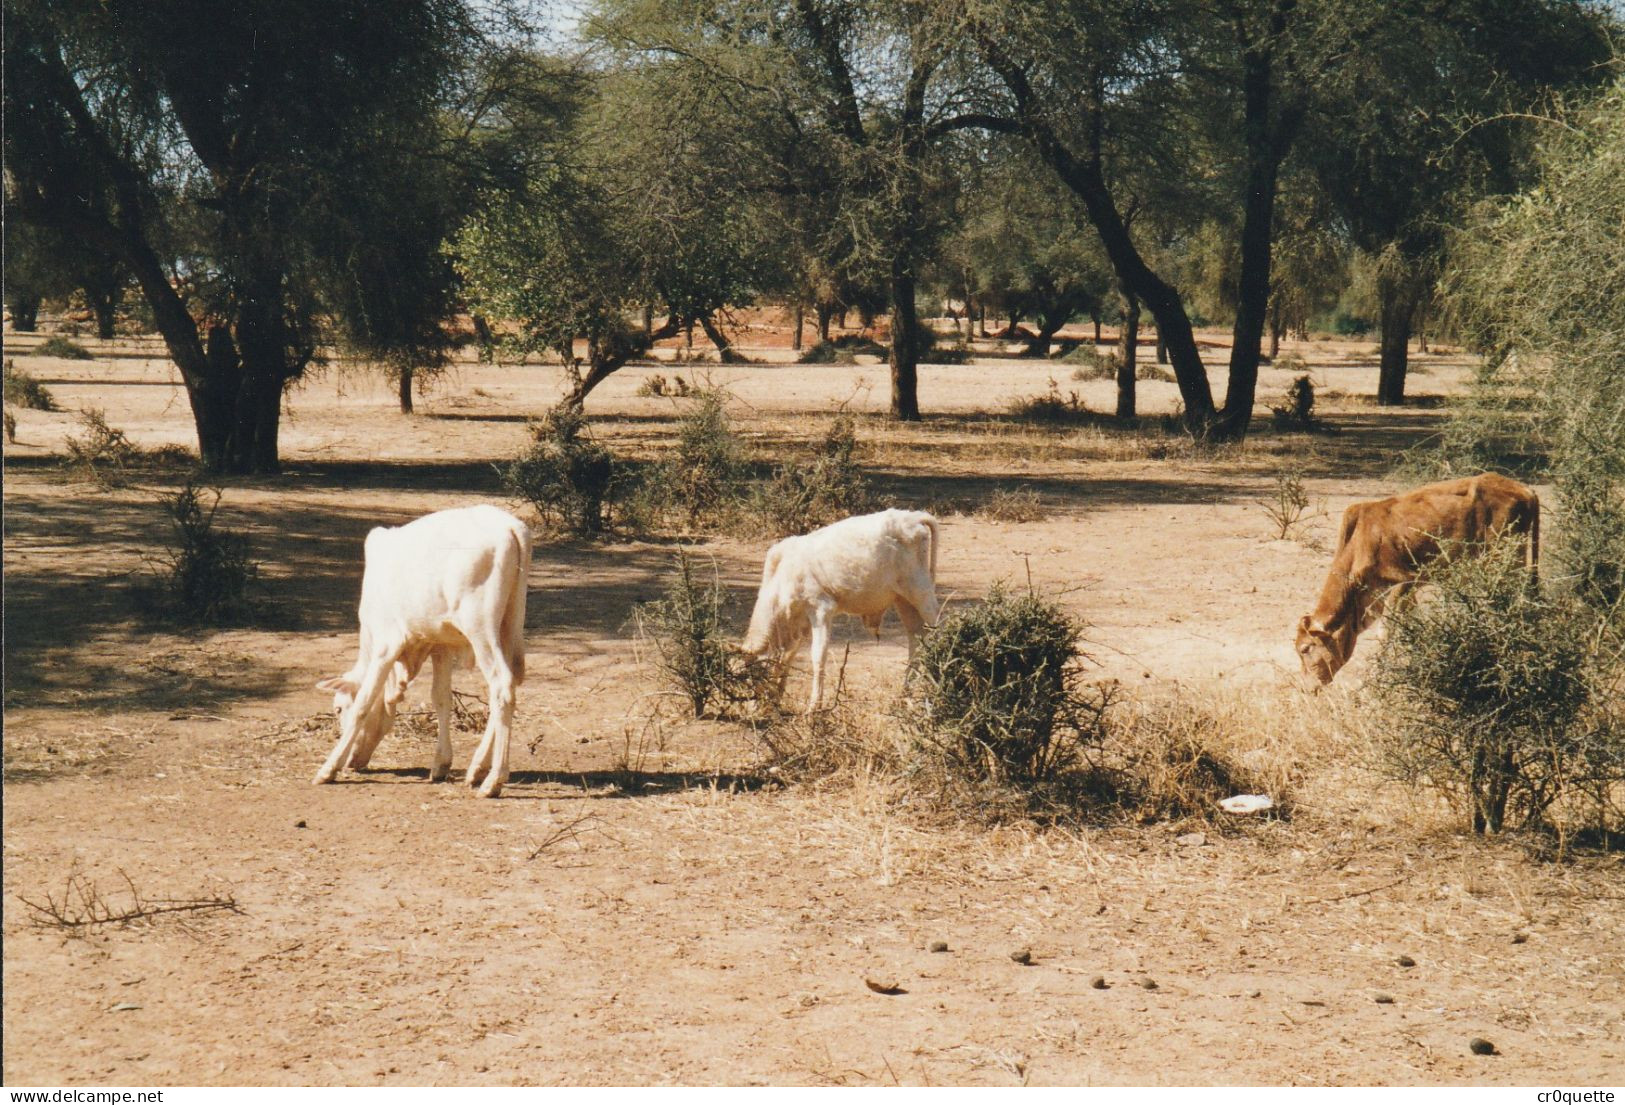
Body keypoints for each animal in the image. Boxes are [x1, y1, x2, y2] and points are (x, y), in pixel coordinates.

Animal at [308, 503, 526, 799]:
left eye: (339, 709)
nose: (353, 762)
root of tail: (508, 525)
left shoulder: (386, 645)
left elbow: (364, 702)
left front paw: (328, 768)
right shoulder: (441, 645)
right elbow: (441, 698)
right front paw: (441, 764)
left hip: (481, 628)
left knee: (501, 686)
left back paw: (493, 780)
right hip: (509, 625)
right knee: (509, 682)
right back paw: (477, 769)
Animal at [741, 507, 942, 708]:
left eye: (753, 675)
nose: (752, 706)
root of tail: (913, 517)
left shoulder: (821, 610)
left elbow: (818, 656)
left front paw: (814, 706)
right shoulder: (801, 625)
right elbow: (788, 657)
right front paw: (778, 697)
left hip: (921, 592)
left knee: (937, 629)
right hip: (903, 601)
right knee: (916, 638)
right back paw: (904, 694)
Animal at [1293, 471, 1534, 682]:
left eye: (1305, 649)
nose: (1307, 687)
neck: (1362, 541)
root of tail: (1525, 490)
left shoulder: (1403, 582)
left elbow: (1387, 630)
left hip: (1503, 560)